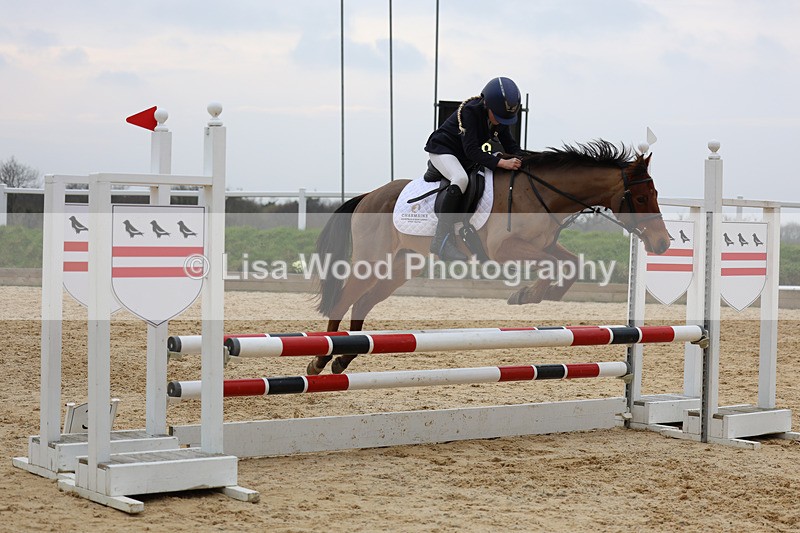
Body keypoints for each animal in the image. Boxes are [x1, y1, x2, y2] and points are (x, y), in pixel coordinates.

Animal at [307, 140, 671, 375]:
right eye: (641, 197)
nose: (663, 243)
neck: (543, 194)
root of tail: (369, 195)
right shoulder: (505, 249)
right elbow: (554, 265)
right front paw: (526, 294)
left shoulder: (544, 243)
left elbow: (571, 264)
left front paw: (540, 294)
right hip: (372, 261)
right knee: (343, 300)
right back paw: (320, 360)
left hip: (401, 267)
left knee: (363, 303)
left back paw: (343, 360)